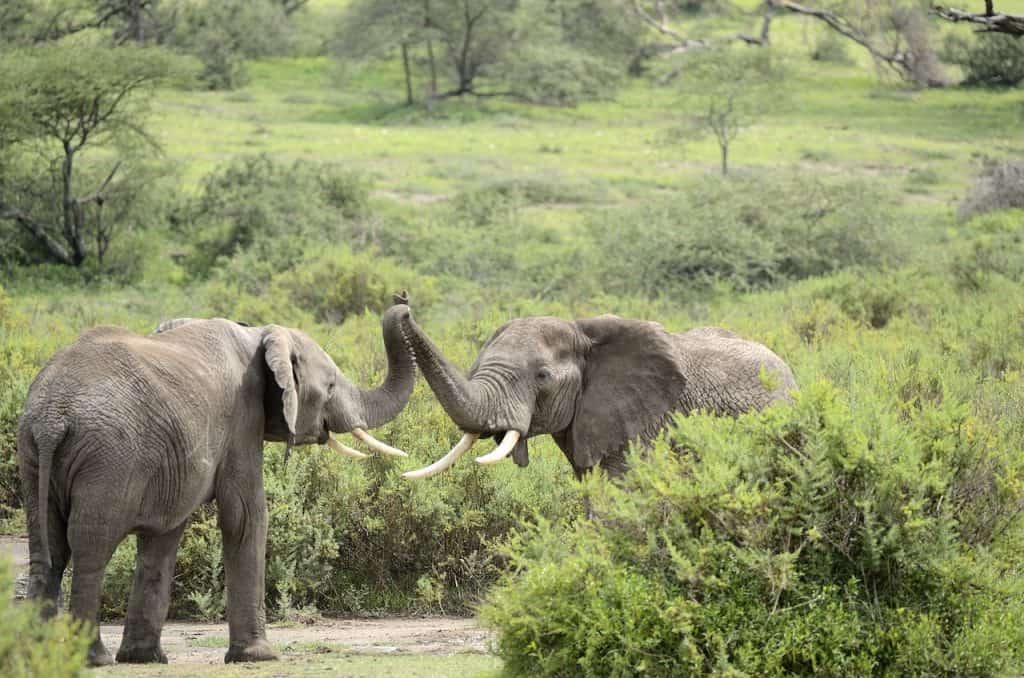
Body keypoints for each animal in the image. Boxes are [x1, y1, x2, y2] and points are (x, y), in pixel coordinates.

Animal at [18, 299, 415, 667]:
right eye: (330, 385)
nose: (404, 303)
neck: (259, 335)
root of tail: (53, 416)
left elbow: (164, 536)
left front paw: (144, 658)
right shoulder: (243, 416)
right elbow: (245, 516)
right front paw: (258, 656)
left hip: (33, 454)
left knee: (47, 550)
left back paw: (38, 655)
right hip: (107, 458)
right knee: (90, 549)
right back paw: (94, 658)